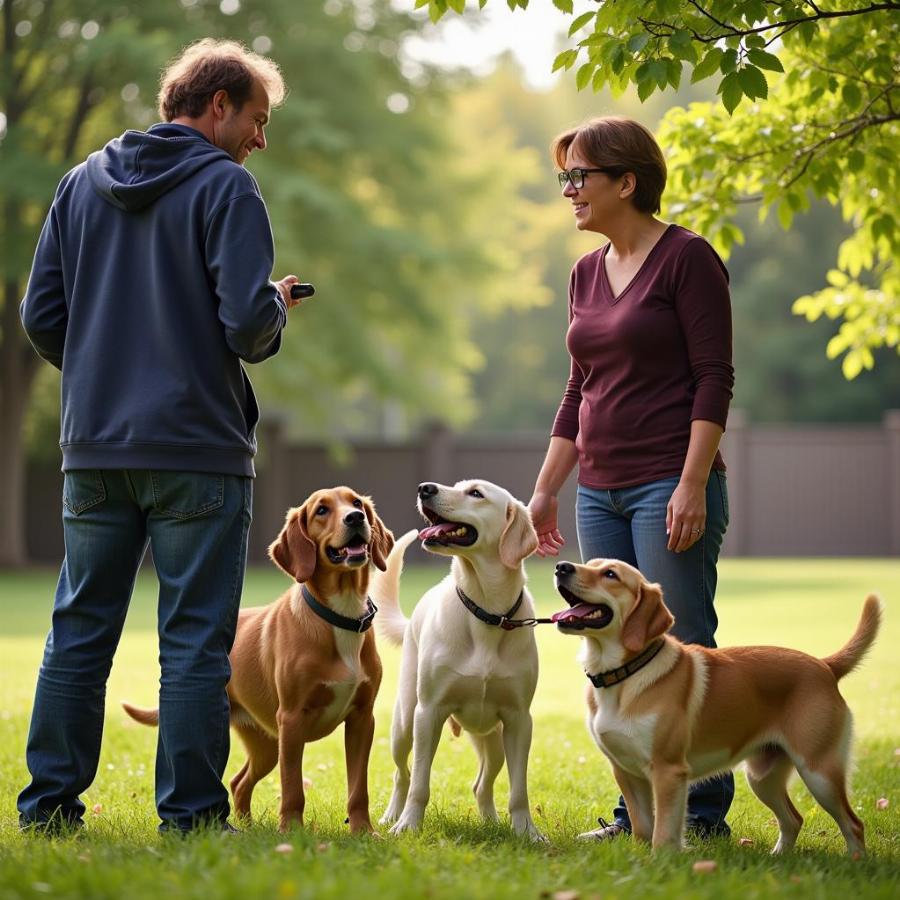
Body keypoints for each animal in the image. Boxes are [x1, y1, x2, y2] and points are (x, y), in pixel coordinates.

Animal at [124, 488, 394, 832]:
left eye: (356, 503)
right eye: (321, 510)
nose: (356, 518)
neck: (339, 615)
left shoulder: (362, 719)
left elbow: (358, 788)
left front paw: (363, 831)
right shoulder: (292, 719)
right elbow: (292, 788)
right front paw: (292, 831)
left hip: (266, 745)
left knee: (239, 782)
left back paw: (249, 828)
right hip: (274, 741)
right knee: (242, 781)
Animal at [370, 482, 544, 840]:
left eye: (476, 493)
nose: (425, 489)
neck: (488, 612)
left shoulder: (520, 720)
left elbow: (518, 790)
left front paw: (527, 832)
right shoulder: (428, 713)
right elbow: (420, 783)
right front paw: (409, 825)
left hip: (494, 740)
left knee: (482, 784)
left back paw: (491, 822)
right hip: (403, 725)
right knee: (401, 774)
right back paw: (391, 816)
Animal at [548, 560, 880, 856]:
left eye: (610, 574)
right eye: (590, 563)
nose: (561, 566)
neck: (624, 676)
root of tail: (824, 666)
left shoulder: (668, 771)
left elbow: (663, 833)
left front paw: (660, 863)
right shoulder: (627, 772)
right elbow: (642, 828)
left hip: (819, 772)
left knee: (853, 824)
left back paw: (855, 864)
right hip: (763, 776)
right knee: (793, 819)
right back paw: (778, 858)